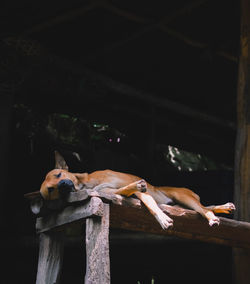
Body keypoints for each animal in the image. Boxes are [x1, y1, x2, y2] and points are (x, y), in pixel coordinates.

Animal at [40, 152, 235, 230]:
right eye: (50, 190)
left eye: (58, 174)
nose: (63, 186)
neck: (86, 185)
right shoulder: (114, 191)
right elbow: (127, 191)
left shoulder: (136, 188)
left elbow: (150, 204)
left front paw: (162, 218)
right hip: (182, 203)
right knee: (205, 207)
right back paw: (223, 207)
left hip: (182, 195)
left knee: (203, 209)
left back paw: (214, 216)